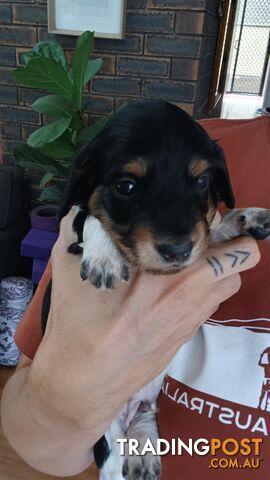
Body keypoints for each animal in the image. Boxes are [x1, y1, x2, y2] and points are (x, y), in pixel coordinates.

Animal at [43, 98, 268, 480]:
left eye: (202, 180)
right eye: (126, 186)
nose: (177, 251)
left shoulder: (197, 242)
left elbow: (207, 233)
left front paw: (242, 218)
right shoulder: (74, 233)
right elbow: (90, 217)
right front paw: (104, 258)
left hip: (144, 406)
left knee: (144, 418)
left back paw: (144, 455)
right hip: (105, 437)